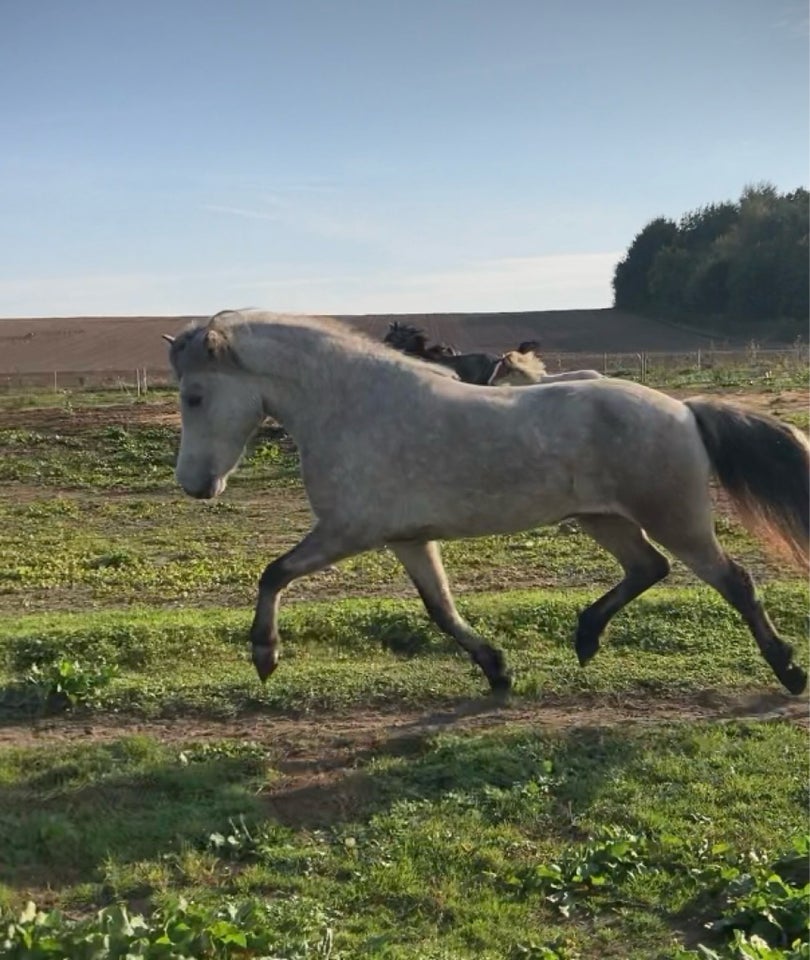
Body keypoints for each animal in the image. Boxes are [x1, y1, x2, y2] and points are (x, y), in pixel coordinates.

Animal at [166, 314, 808, 696]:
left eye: (194, 396)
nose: (195, 485)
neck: (353, 408)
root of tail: (683, 409)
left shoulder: (348, 530)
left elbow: (273, 573)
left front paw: (264, 654)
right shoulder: (406, 539)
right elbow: (441, 610)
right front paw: (498, 670)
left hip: (675, 519)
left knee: (735, 581)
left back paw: (789, 671)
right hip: (604, 518)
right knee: (649, 568)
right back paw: (585, 638)